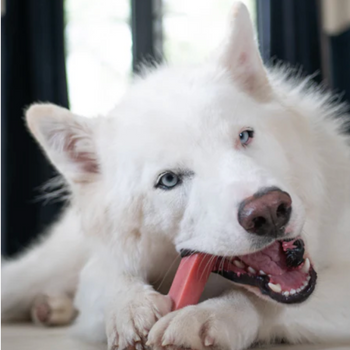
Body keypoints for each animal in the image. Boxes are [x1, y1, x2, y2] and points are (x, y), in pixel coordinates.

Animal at [2, 2, 350, 350]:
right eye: (168, 180)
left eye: (245, 136)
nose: (269, 211)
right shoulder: (100, 273)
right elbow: (111, 274)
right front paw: (130, 306)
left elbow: (256, 302)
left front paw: (208, 316)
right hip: (42, 270)